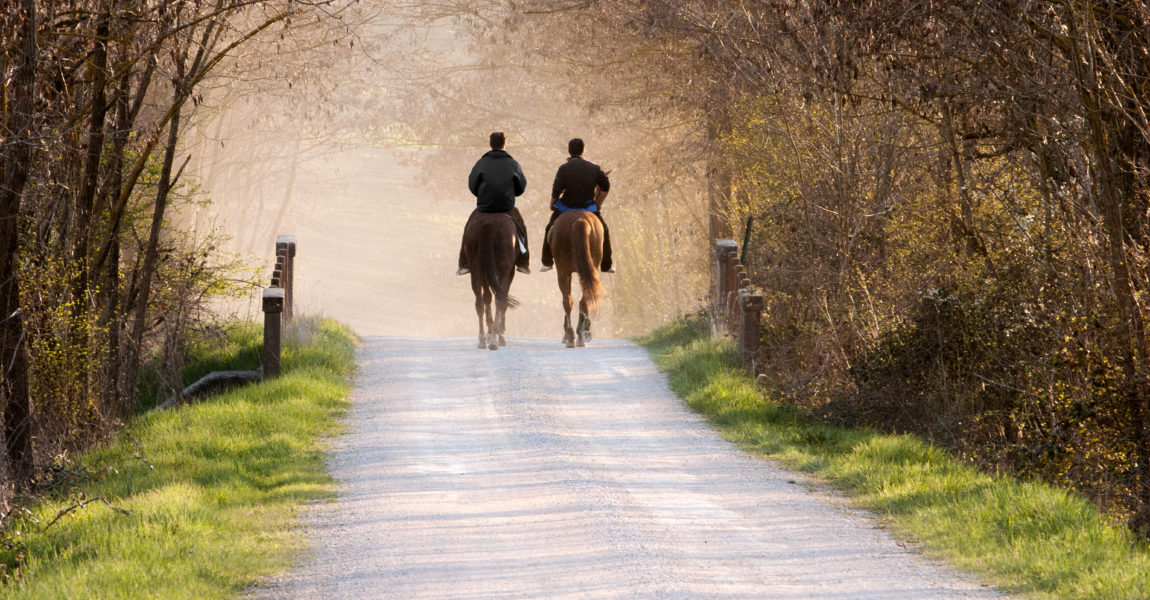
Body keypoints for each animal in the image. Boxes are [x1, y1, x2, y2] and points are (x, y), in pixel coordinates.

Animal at [464, 212, 524, 347]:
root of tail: (489, 223)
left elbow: (487, 298)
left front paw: (490, 332)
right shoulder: (510, 272)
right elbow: (502, 299)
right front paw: (499, 334)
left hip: (477, 269)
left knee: (480, 302)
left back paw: (483, 339)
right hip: (504, 269)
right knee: (499, 299)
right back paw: (494, 340)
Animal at [545, 208, 602, 344]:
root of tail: (580, 220)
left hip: (563, 271)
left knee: (568, 301)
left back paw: (571, 335)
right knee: (582, 300)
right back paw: (581, 334)